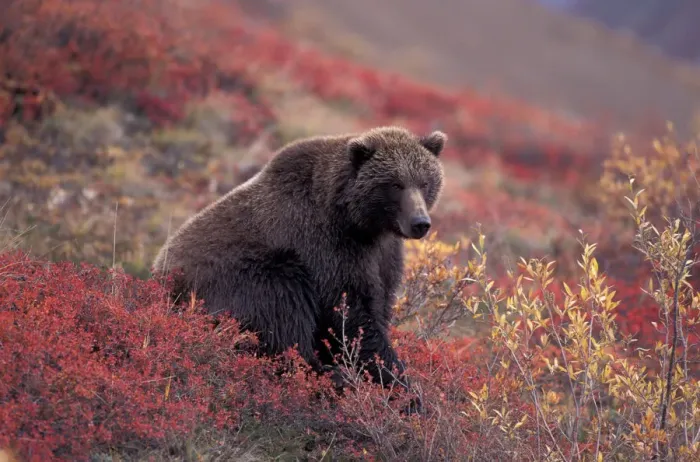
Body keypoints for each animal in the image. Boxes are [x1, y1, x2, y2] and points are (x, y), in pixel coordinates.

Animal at [152, 125, 446, 390]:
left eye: (425, 182)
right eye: (395, 184)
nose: (420, 223)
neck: (358, 222)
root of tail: (158, 280)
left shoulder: (383, 255)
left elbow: (378, 304)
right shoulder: (327, 245)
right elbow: (350, 312)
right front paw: (401, 386)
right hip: (242, 274)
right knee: (281, 310)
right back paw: (326, 375)